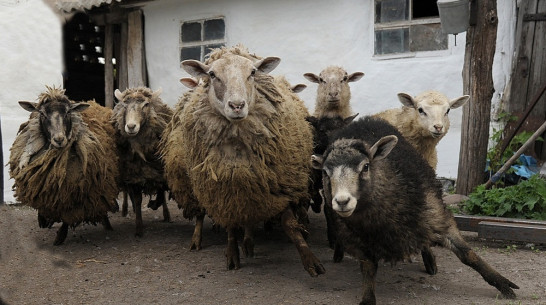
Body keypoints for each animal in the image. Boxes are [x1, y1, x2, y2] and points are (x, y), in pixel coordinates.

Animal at [162, 45, 324, 276]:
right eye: (212, 74)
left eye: (253, 72)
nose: (237, 105)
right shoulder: (224, 190)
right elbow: (231, 224)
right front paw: (232, 254)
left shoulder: (276, 184)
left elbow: (290, 224)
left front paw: (310, 259)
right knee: (207, 214)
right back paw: (201, 240)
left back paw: (249, 242)